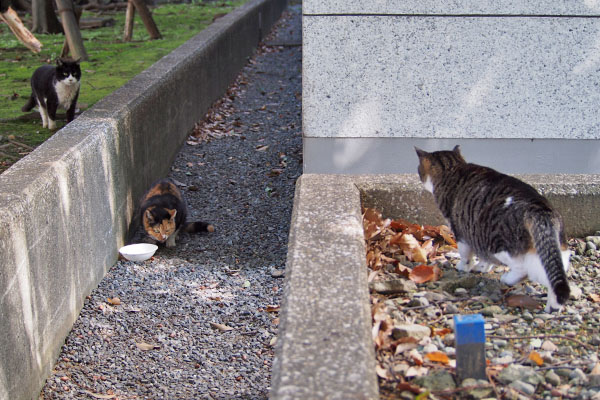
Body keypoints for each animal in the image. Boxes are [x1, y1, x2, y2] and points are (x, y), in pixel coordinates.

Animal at [414, 145, 568, 314]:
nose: (419, 175)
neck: (453, 167)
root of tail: (538, 207)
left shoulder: (460, 231)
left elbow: (466, 254)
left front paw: (464, 267)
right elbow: (485, 259)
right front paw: (483, 267)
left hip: (499, 244)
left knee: (524, 270)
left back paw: (507, 279)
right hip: (553, 252)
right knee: (555, 277)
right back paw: (553, 306)